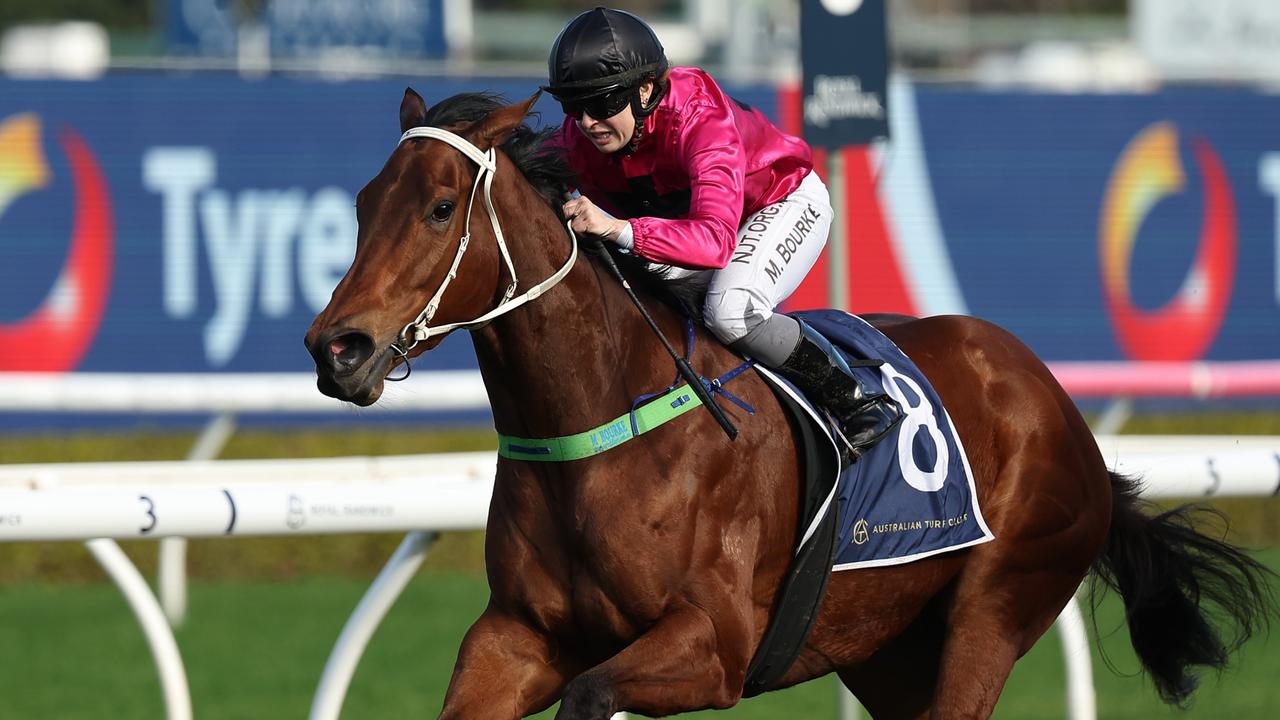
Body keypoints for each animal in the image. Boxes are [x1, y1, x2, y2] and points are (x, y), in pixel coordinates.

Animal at [304, 90, 1274, 717]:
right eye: (362, 203)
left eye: (439, 209)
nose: (334, 348)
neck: (600, 424)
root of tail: (1057, 404)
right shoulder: (514, 636)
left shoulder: (714, 645)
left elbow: (592, 694)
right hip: (887, 646)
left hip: (997, 607)